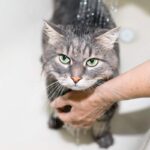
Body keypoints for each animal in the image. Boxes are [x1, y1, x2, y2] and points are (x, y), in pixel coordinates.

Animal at [41, 0, 120, 148]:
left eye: (92, 62)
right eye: (64, 59)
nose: (76, 78)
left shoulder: (109, 105)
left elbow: (102, 124)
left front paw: (103, 138)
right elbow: (56, 110)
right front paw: (55, 121)